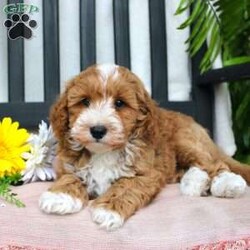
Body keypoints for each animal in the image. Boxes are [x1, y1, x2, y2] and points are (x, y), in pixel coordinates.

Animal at [39, 64, 250, 230]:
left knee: (213, 164)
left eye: (119, 103)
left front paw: (108, 210)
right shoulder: (68, 166)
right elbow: (70, 178)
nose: (97, 130)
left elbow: (124, 187)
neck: (104, 152)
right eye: (85, 102)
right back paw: (195, 183)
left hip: (185, 140)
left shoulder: (144, 173)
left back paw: (226, 183)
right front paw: (59, 197)